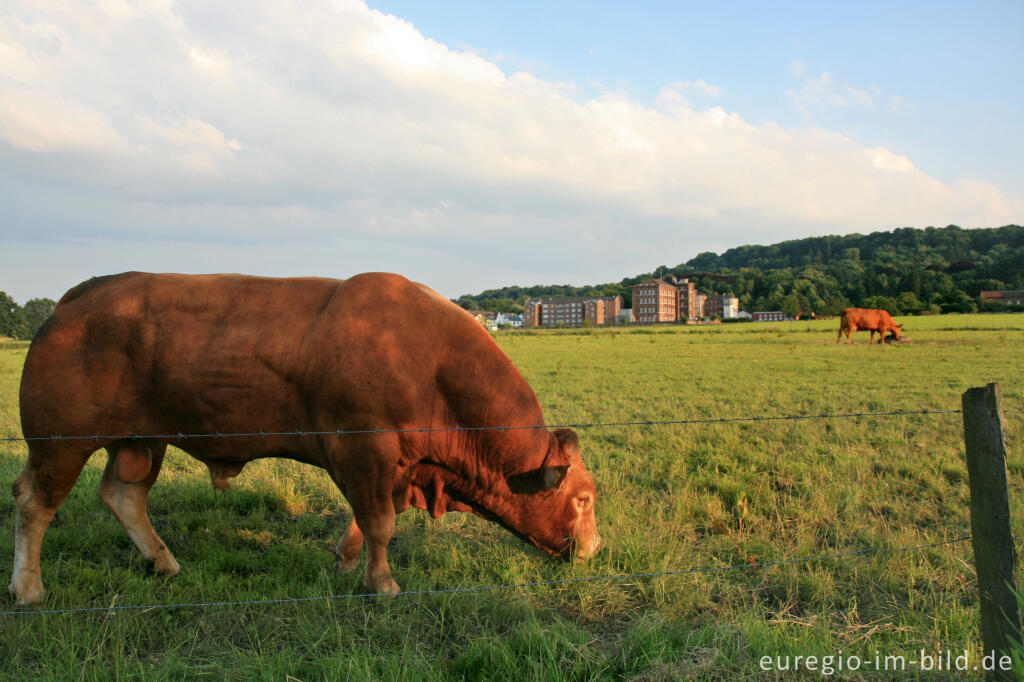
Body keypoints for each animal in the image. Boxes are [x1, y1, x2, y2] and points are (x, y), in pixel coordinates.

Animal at [9, 270, 598, 602]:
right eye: (585, 499)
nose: (595, 548)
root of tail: (78, 297)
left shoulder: (394, 466)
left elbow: (371, 520)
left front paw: (346, 561)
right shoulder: (364, 448)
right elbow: (380, 523)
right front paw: (383, 585)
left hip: (139, 440)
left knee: (123, 496)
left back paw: (164, 563)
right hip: (60, 442)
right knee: (34, 504)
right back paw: (29, 589)